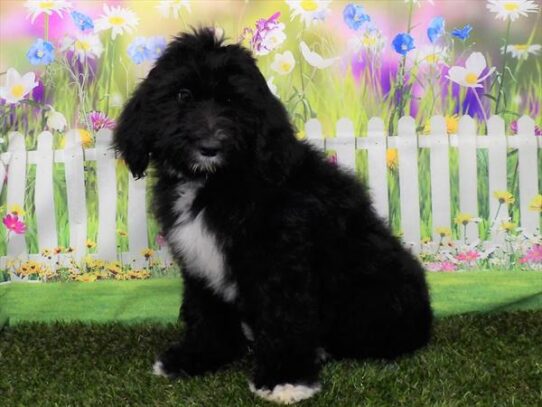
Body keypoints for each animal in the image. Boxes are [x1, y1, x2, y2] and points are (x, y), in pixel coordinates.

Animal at [115, 27, 434, 404]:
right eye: (183, 95)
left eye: (231, 101)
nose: (210, 146)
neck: (217, 182)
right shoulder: (199, 261)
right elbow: (206, 312)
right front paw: (198, 357)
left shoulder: (281, 261)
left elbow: (284, 317)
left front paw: (285, 378)